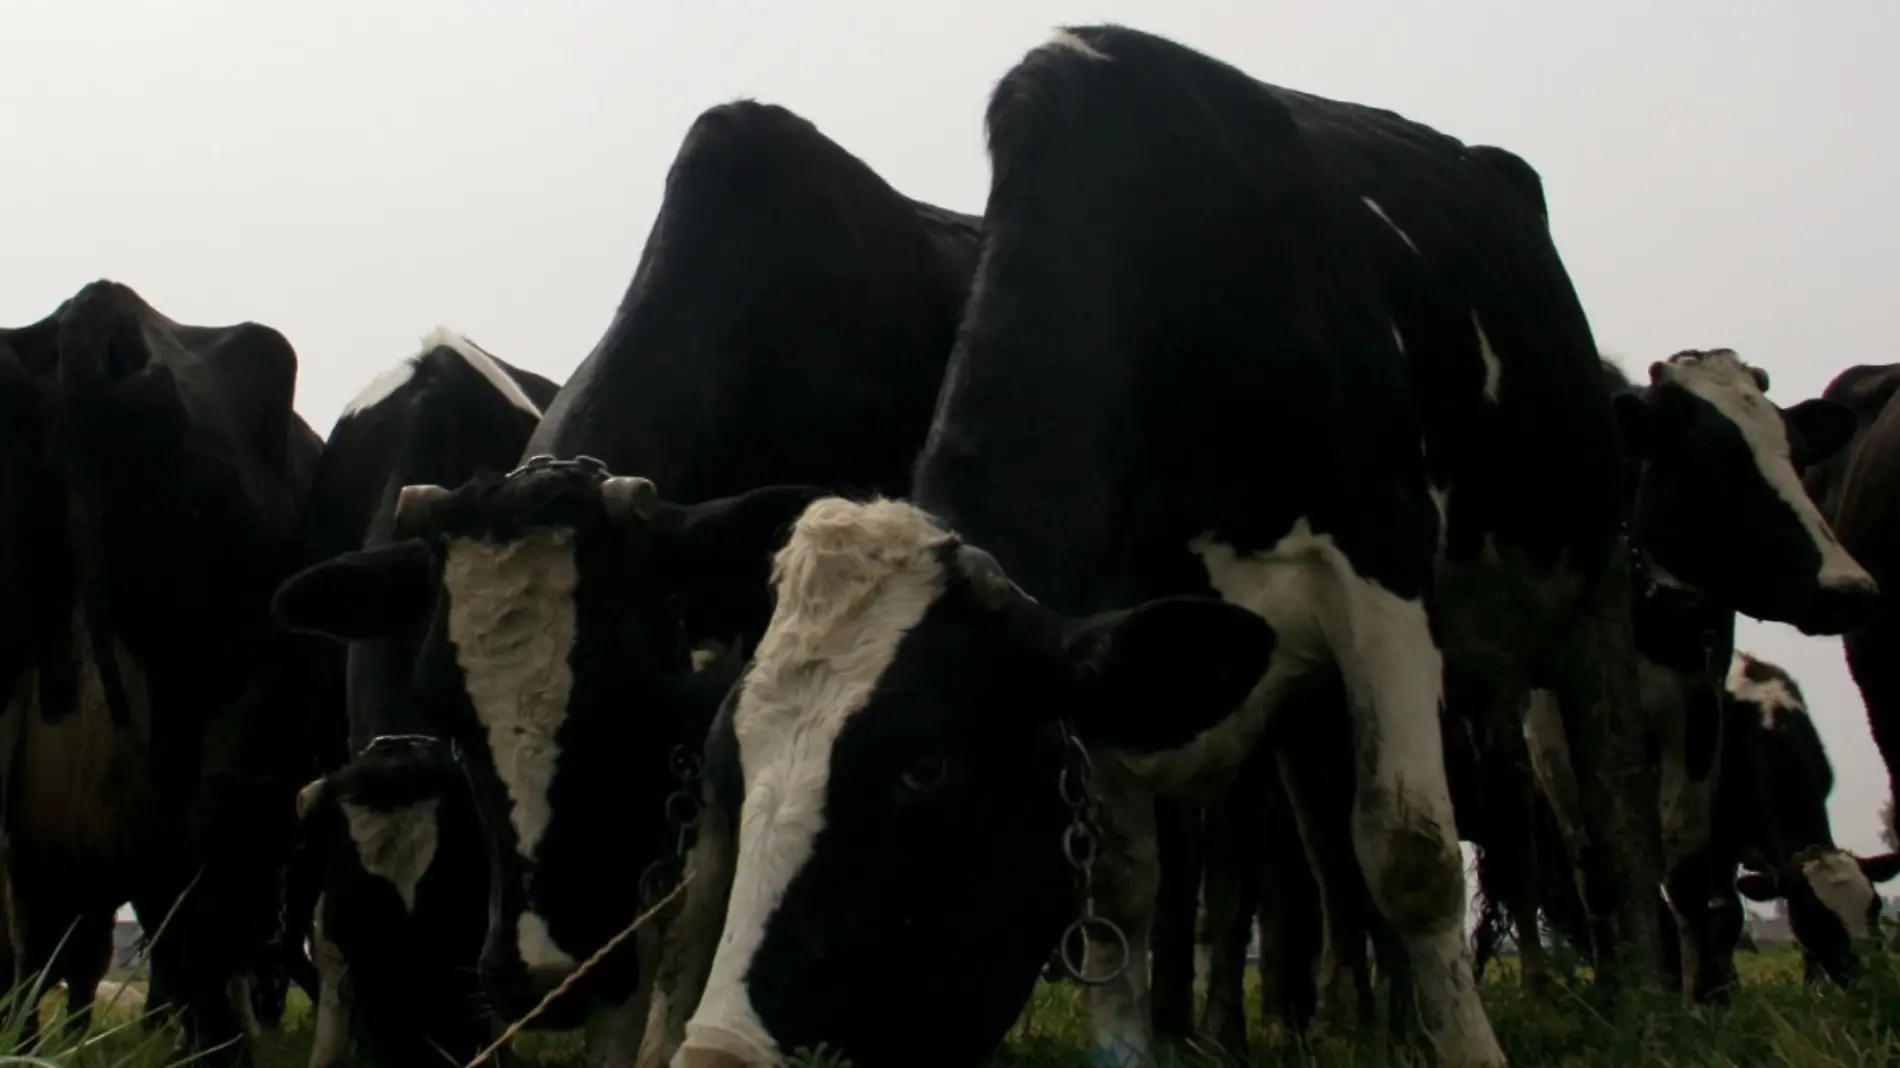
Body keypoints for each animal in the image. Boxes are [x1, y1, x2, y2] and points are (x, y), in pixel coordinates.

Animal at [661, 24, 1877, 1064]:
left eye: (924, 769)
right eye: (725, 769)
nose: (716, 1058)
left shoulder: (1379, 572)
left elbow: (1414, 855)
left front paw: (1473, 1049)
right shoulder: (1114, 640)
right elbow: (1126, 885)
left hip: (1586, 603)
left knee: (1620, 826)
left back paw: (1650, 1005)